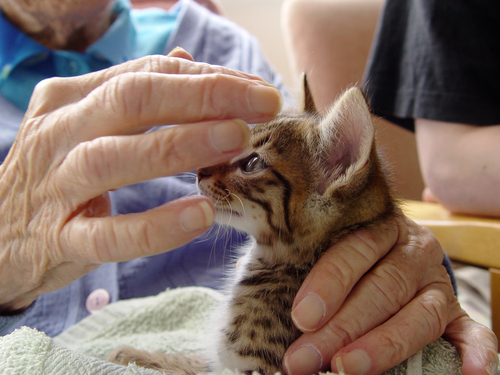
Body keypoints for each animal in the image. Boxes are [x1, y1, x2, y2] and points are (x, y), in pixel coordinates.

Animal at [110, 80, 398, 375]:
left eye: (253, 163)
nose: (200, 170)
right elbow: (195, 363)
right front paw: (139, 355)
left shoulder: (254, 367)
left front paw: (139, 357)